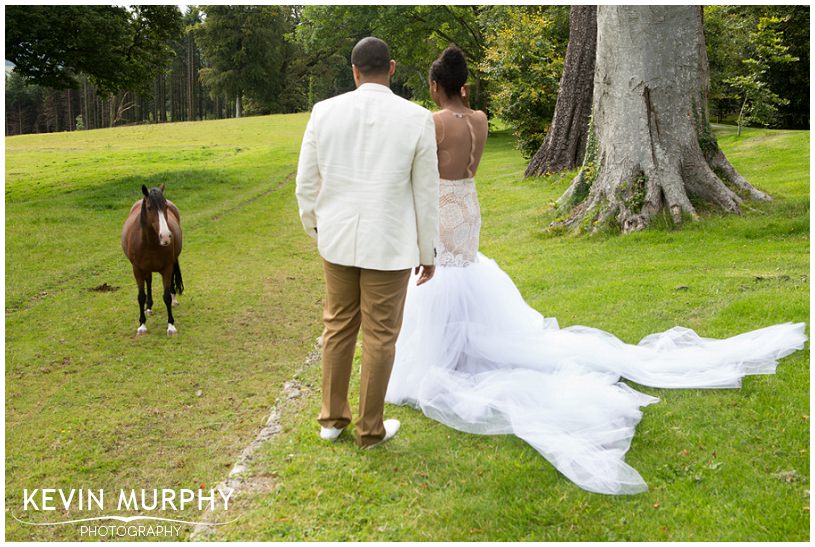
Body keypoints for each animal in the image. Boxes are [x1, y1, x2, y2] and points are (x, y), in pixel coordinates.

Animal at [122, 184, 184, 336]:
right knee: (148, 281)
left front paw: (171, 325)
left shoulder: (167, 268)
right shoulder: (137, 269)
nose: (166, 236)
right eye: (149, 207)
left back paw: (173, 299)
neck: (149, 243)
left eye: (165, 206)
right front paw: (142, 325)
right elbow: (141, 296)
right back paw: (149, 307)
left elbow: (166, 296)